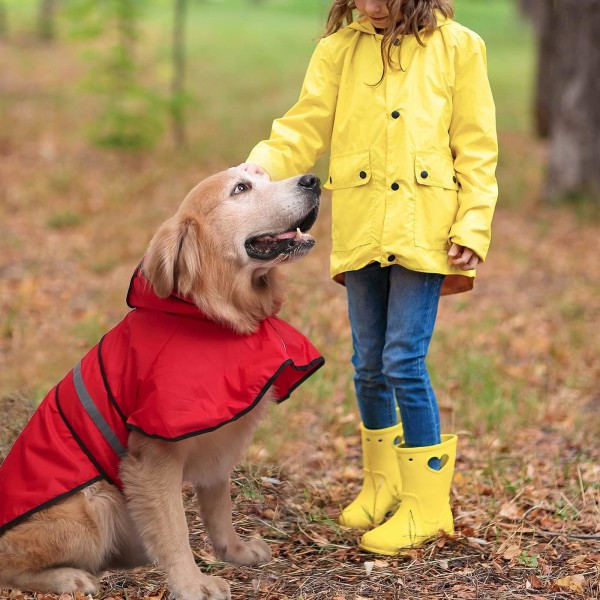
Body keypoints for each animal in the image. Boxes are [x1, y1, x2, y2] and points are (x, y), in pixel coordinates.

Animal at [0, 169, 324, 600]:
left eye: (265, 176)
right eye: (240, 188)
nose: (314, 180)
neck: (212, 315)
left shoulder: (219, 443)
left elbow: (219, 510)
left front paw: (234, 552)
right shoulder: (153, 458)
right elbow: (175, 529)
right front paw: (192, 584)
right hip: (94, 506)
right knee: (9, 562)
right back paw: (68, 578)